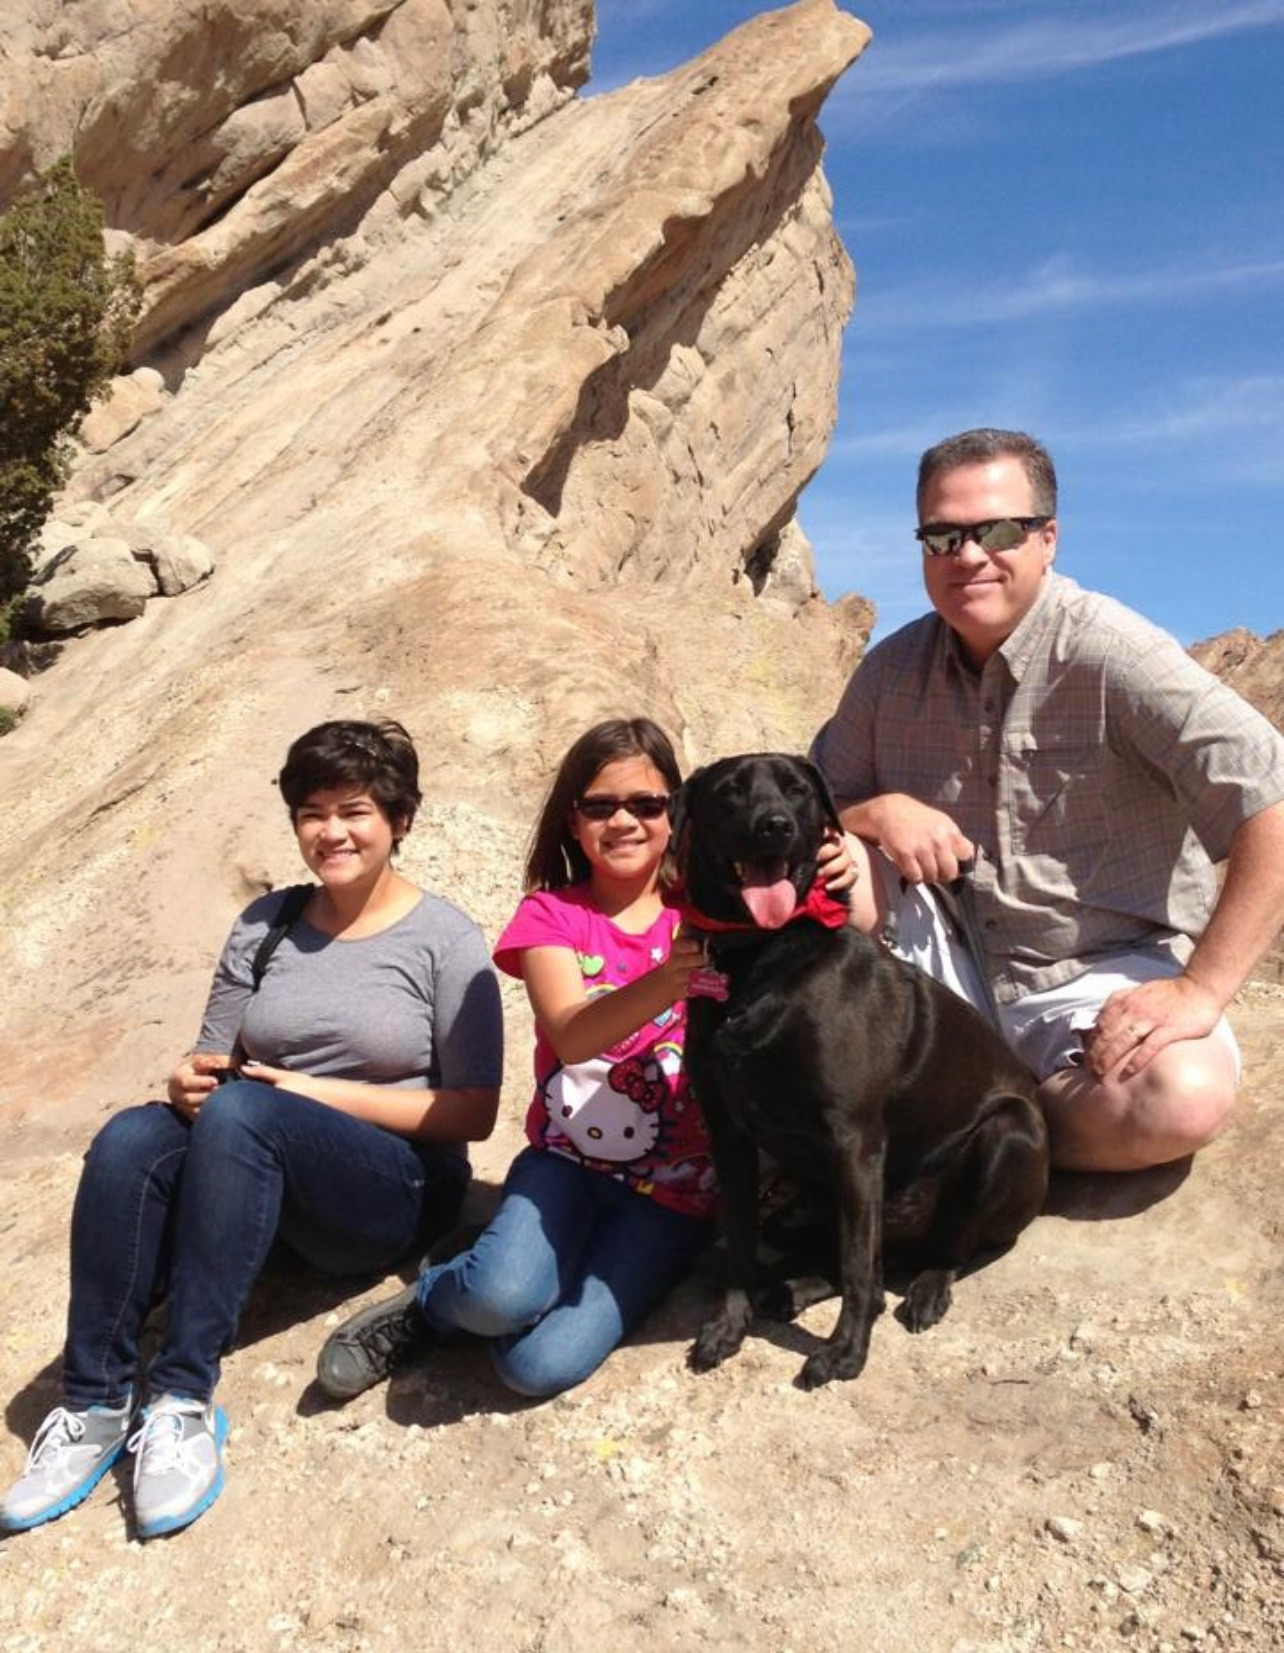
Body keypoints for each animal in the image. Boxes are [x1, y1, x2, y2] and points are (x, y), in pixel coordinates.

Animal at [669, 752, 1049, 1389]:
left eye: (797, 790)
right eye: (729, 792)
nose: (774, 826)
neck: (763, 959)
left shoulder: (852, 1139)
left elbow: (856, 1268)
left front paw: (845, 1351)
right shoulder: (730, 1135)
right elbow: (741, 1241)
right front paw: (728, 1325)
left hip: (1009, 1134)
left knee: (941, 1250)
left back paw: (924, 1289)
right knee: (852, 1253)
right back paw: (789, 1289)